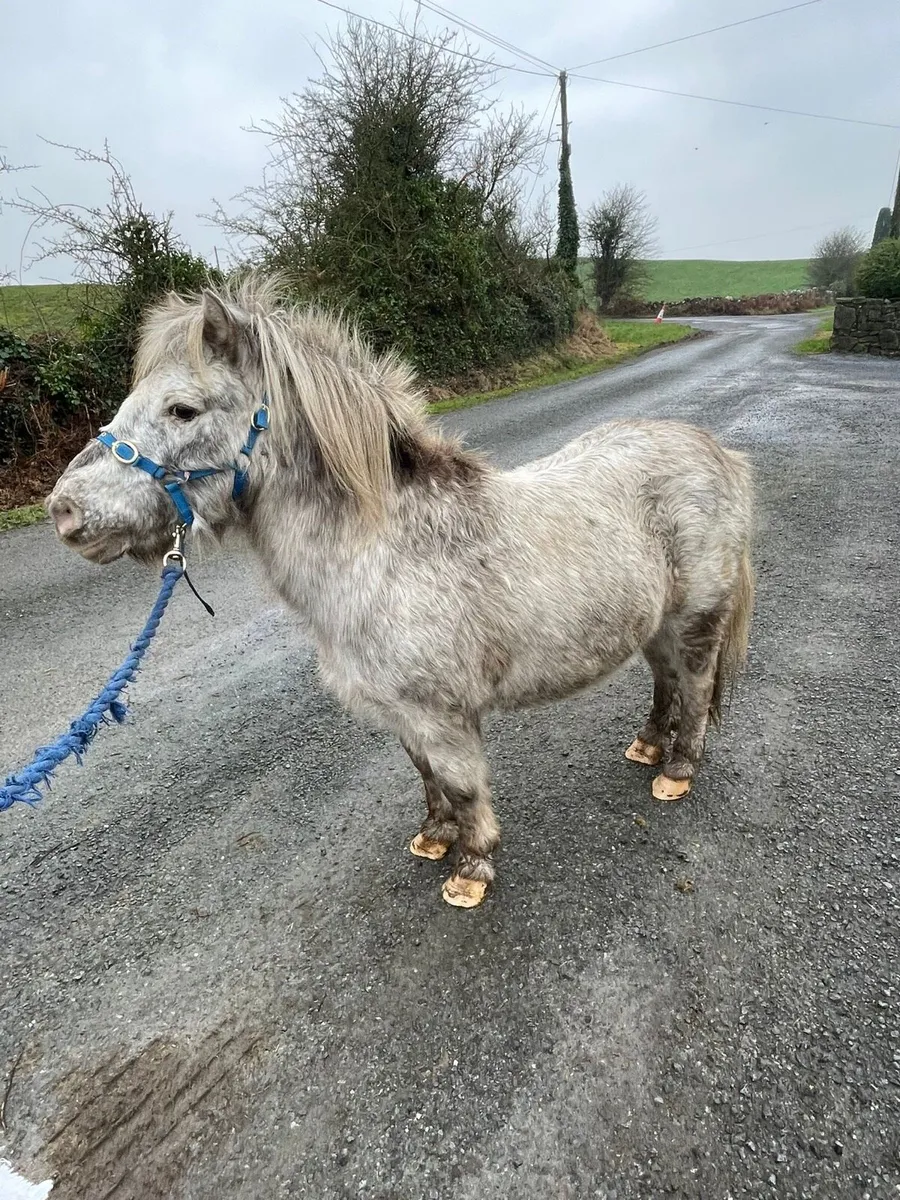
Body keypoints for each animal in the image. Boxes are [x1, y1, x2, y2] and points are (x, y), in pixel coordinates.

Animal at [47, 276, 755, 908]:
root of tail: (717, 452)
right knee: (665, 679)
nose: (64, 511)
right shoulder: (403, 713)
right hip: (654, 622)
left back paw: (676, 772)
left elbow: (464, 786)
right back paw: (648, 746)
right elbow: (427, 778)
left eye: (182, 410)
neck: (385, 549)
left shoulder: (442, 714)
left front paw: (470, 870)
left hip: (695, 619)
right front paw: (434, 838)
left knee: (693, 686)